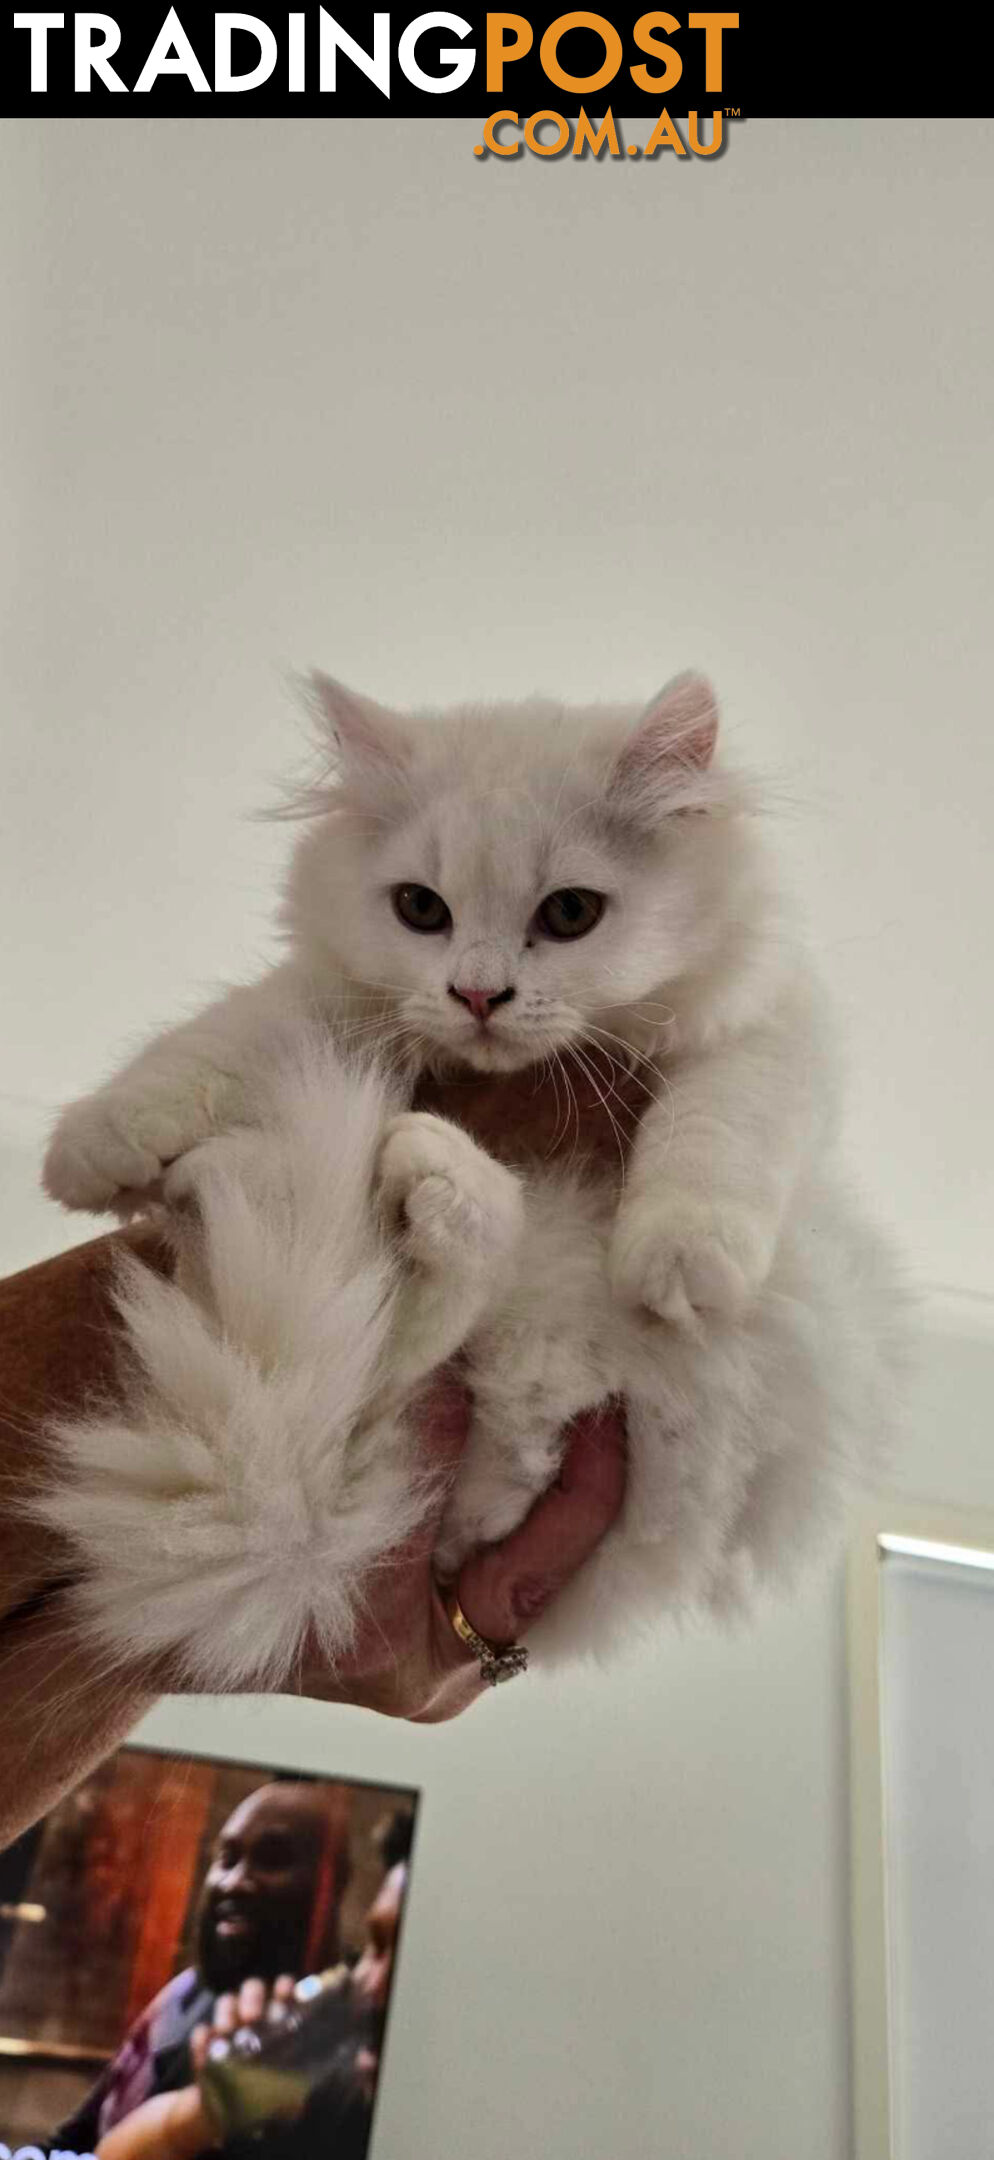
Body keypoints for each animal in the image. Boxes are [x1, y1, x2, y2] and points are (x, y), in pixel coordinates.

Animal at [42, 673, 903, 1684]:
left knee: (462, 1409)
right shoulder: (324, 1000)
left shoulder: (765, 1025)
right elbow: (219, 1038)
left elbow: (715, 1127)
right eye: (422, 909)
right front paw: (95, 1148)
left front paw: (680, 1262)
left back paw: (395, 1173)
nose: (478, 994)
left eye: (570, 914)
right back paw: (257, 1176)